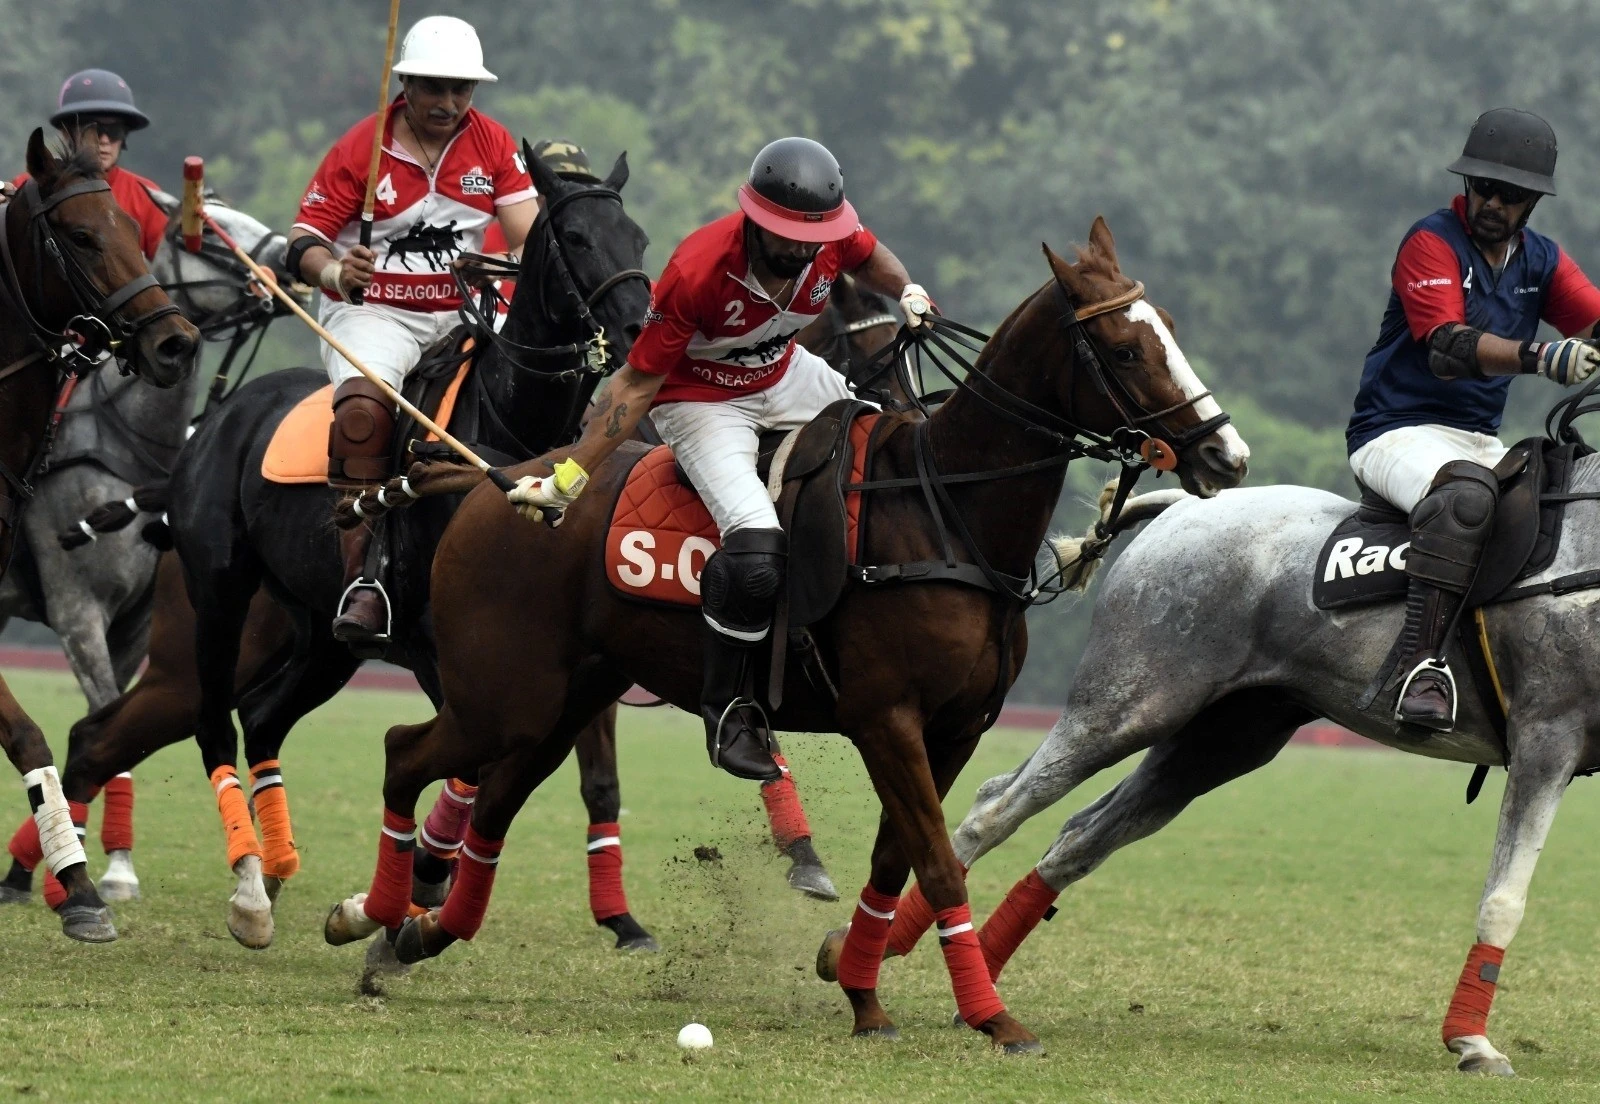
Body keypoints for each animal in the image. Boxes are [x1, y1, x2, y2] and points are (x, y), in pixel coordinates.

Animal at [0, 196, 291, 902]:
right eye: (209, 232)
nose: (284, 263)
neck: (131, 445)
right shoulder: (78, 612)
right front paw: (92, 865)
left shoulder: (132, 627)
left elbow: (104, 725)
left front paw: (99, 862)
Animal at [328, 217, 1248, 1049]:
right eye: (1124, 351)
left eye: (1169, 331)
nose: (1227, 457)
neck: (945, 510)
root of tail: (495, 481)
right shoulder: (887, 719)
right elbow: (938, 862)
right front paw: (992, 1018)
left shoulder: (953, 730)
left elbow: (898, 861)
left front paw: (864, 997)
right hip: (504, 693)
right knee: (404, 752)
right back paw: (364, 914)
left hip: (561, 700)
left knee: (492, 802)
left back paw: (412, 935)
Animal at [902, 451, 1600, 1068]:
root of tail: (1184, 505)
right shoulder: (1547, 735)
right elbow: (1504, 896)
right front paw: (1472, 1043)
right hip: (1129, 704)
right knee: (998, 804)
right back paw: (898, 963)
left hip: (1223, 739)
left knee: (1078, 837)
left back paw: (971, 997)